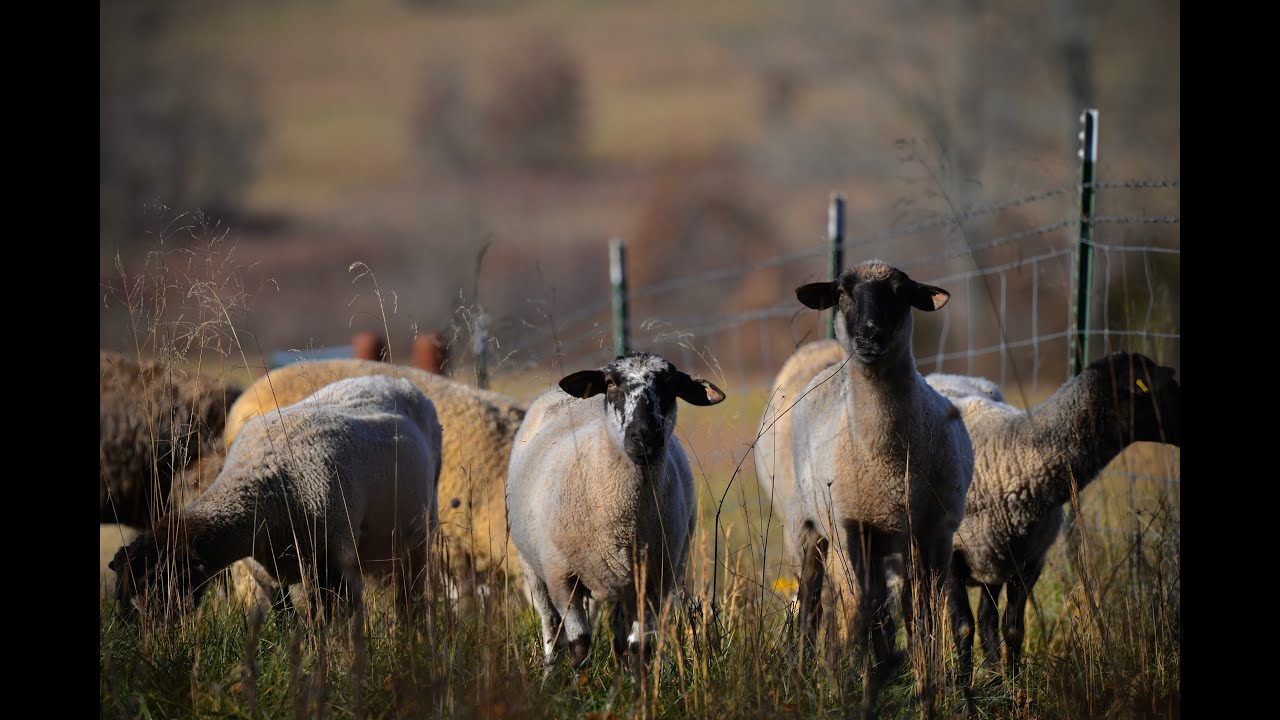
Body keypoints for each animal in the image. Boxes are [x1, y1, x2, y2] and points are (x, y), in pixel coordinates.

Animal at [109, 374, 443, 619]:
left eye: (159, 588)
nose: (146, 645)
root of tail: (397, 379)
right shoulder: (267, 576)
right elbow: (287, 620)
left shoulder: (331, 566)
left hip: (417, 538)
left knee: (409, 600)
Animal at [506, 351, 725, 671]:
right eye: (610, 383)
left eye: (670, 385)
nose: (644, 438)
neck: (624, 518)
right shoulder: (562, 577)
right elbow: (580, 646)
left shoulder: (653, 581)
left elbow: (639, 649)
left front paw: (638, 684)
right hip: (533, 567)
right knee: (551, 630)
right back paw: (550, 672)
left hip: (623, 581)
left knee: (618, 635)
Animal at [777, 259, 974, 713]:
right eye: (842, 292)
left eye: (902, 292)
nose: (870, 335)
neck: (887, 461)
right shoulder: (852, 530)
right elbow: (857, 616)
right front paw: (854, 693)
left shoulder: (929, 534)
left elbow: (923, 619)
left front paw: (926, 698)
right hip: (809, 533)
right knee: (813, 606)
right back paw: (807, 677)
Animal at [924, 351, 1181, 684]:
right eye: (1162, 388)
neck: (1010, 455)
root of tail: (944, 374)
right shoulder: (953, 556)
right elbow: (963, 628)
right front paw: (963, 690)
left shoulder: (1030, 559)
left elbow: (1013, 628)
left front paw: (1013, 685)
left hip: (993, 557)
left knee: (987, 618)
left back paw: (994, 677)